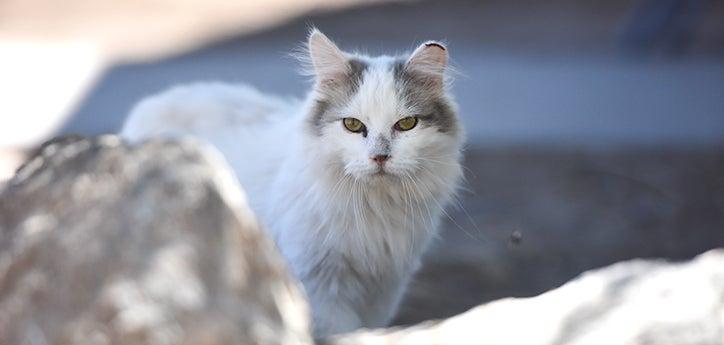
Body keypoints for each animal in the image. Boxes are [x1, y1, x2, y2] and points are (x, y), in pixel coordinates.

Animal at [121, 28, 464, 336]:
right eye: (353, 125)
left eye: (406, 124)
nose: (379, 157)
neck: (375, 207)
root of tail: (152, 102)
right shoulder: (320, 284)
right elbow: (339, 331)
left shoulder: (385, 285)